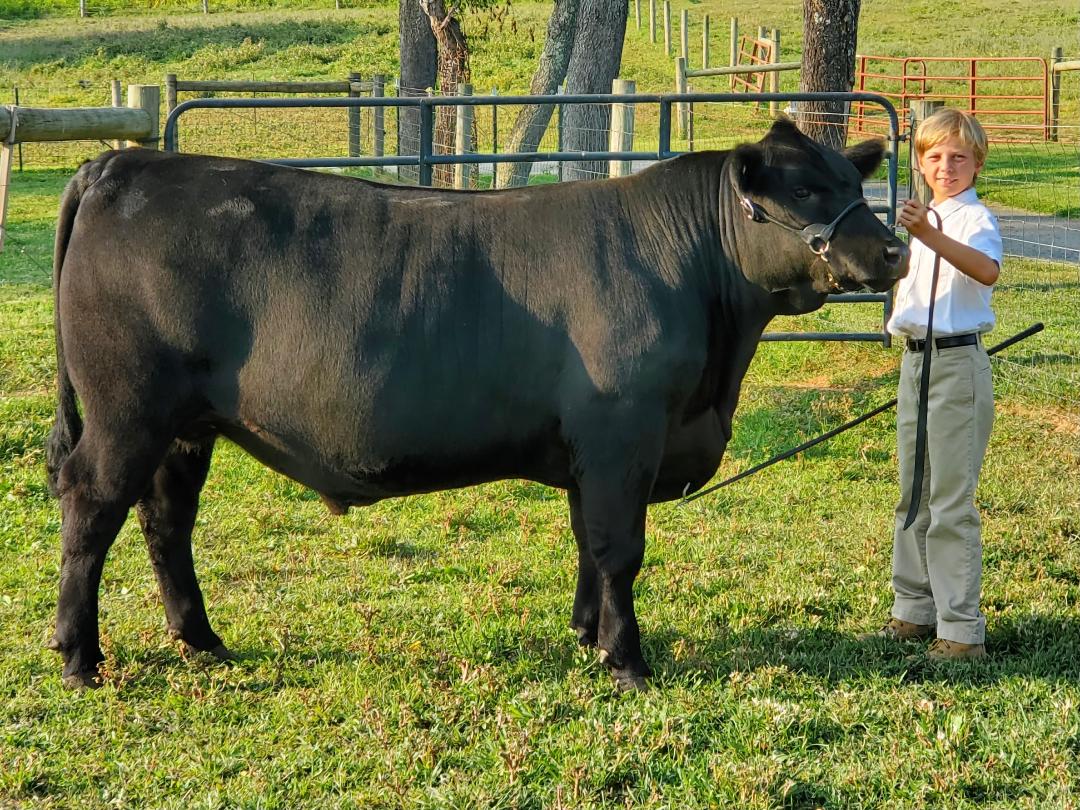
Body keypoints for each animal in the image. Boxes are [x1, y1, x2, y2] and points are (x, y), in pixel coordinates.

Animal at [45, 118, 908, 691]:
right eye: (805, 188)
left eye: (854, 181)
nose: (894, 251)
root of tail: (124, 165)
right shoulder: (623, 432)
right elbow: (619, 548)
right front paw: (627, 661)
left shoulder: (591, 445)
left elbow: (587, 541)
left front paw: (586, 635)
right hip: (128, 412)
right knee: (92, 506)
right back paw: (79, 655)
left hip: (186, 427)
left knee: (166, 518)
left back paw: (201, 638)